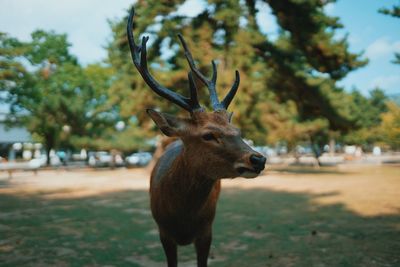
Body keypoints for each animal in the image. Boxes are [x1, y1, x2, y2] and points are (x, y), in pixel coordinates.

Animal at [126, 7, 268, 266]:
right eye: (208, 135)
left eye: (238, 131)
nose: (258, 159)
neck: (183, 220)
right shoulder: (163, 233)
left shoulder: (207, 232)